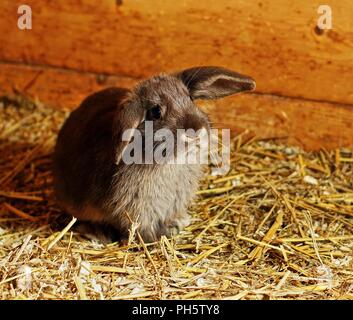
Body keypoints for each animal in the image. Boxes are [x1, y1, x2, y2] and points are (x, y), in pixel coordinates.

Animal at [52, 65, 254, 242]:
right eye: (155, 112)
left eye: (189, 98)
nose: (197, 131)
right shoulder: (136, 210)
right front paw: (156, 238)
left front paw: (178, 223)